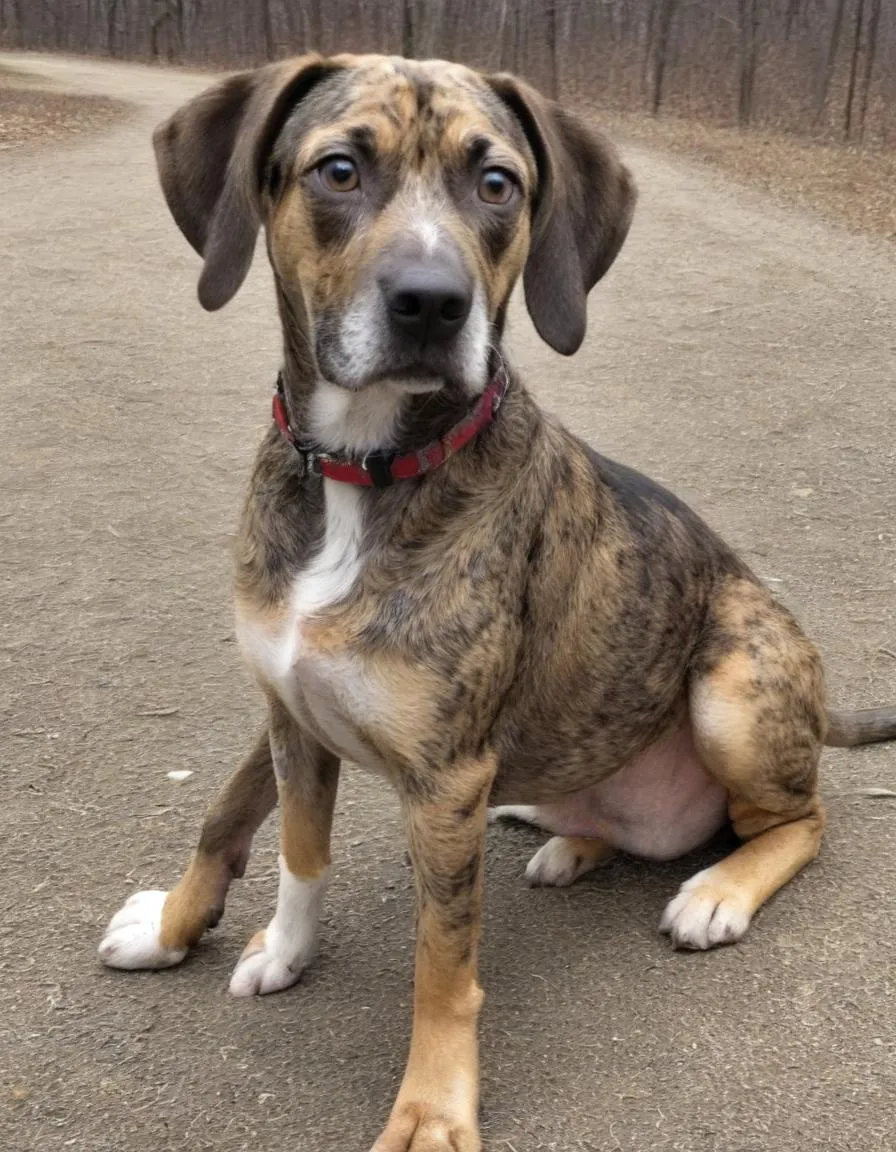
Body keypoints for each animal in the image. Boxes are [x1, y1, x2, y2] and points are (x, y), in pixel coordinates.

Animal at [97, 54, 893, 1152]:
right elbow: (263, 829)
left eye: (496, 184)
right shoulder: (290, 706)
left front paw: (432, 1107)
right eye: (338, 168)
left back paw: (717, 890)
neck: (362, 474)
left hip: (733, 674)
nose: (432, 304)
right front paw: (221, 936)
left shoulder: (443, 783)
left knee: (801, 819)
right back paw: (564, 838)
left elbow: (443, 963)